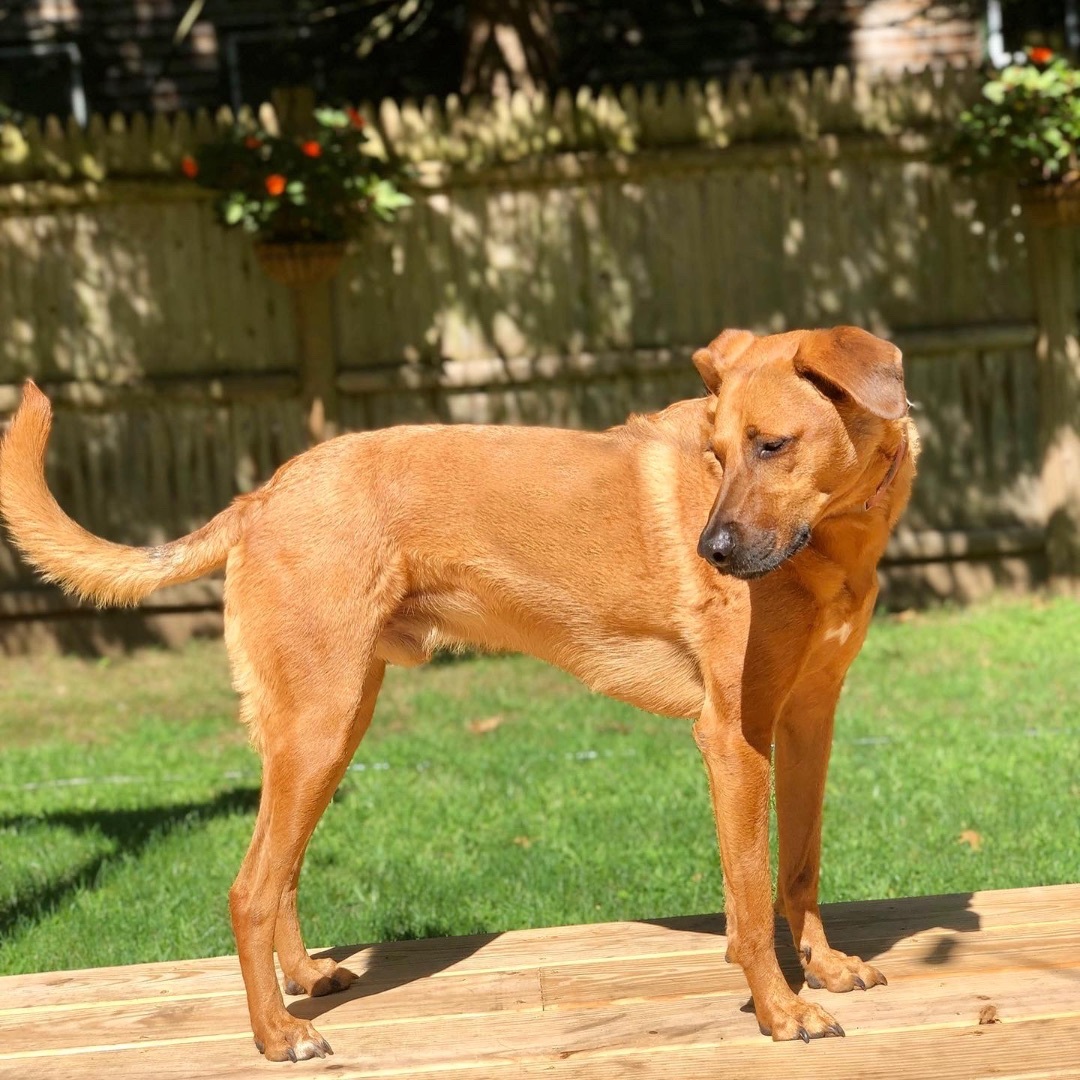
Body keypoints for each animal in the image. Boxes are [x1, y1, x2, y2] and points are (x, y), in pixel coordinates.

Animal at [0, 324, 915, 1058]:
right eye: (718, 456)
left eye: (773, 446)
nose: (712, 552)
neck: (834, 541)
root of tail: (261, 494)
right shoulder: (732, 736)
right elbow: (751, 898)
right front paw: (781, 1012)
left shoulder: (808, 723)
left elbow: (798, 868)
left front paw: (825, 968)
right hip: (321, 726)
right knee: (248, 889)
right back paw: (277, 1034)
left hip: (326, 729)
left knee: (280, 874)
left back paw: (305, 979)